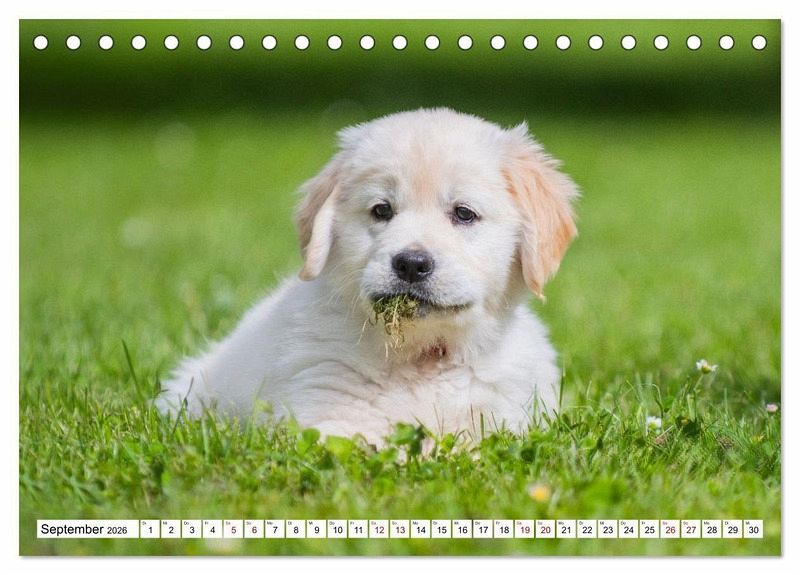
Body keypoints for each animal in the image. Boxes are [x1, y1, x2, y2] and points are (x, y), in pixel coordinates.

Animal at [156, 108, 578, 446]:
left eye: (463, 213)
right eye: (381, 210)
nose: (411, 264)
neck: (421, 359)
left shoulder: (506, 417)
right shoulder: (328, 411)